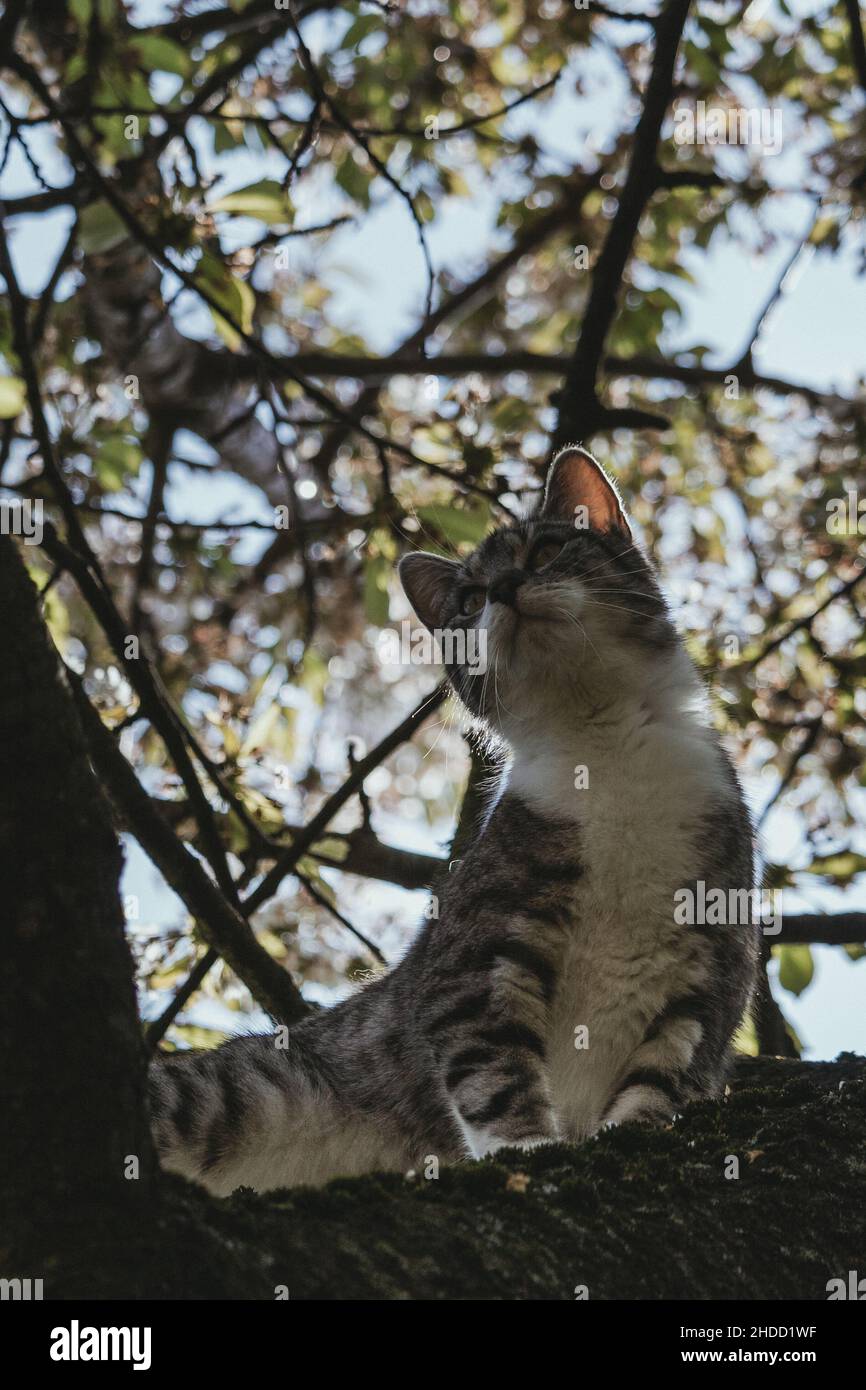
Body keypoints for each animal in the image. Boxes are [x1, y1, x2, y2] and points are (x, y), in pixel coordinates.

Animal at [148, 447, 756, 1195]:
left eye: (546, 549)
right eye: (467, 601)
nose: (503, 589)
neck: (606, 750)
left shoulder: (709, 970)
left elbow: (662, 1079)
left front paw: (632, 1137)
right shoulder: (471, 958)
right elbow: (492, 1070)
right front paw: (528, 1149)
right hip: (222, 1096)